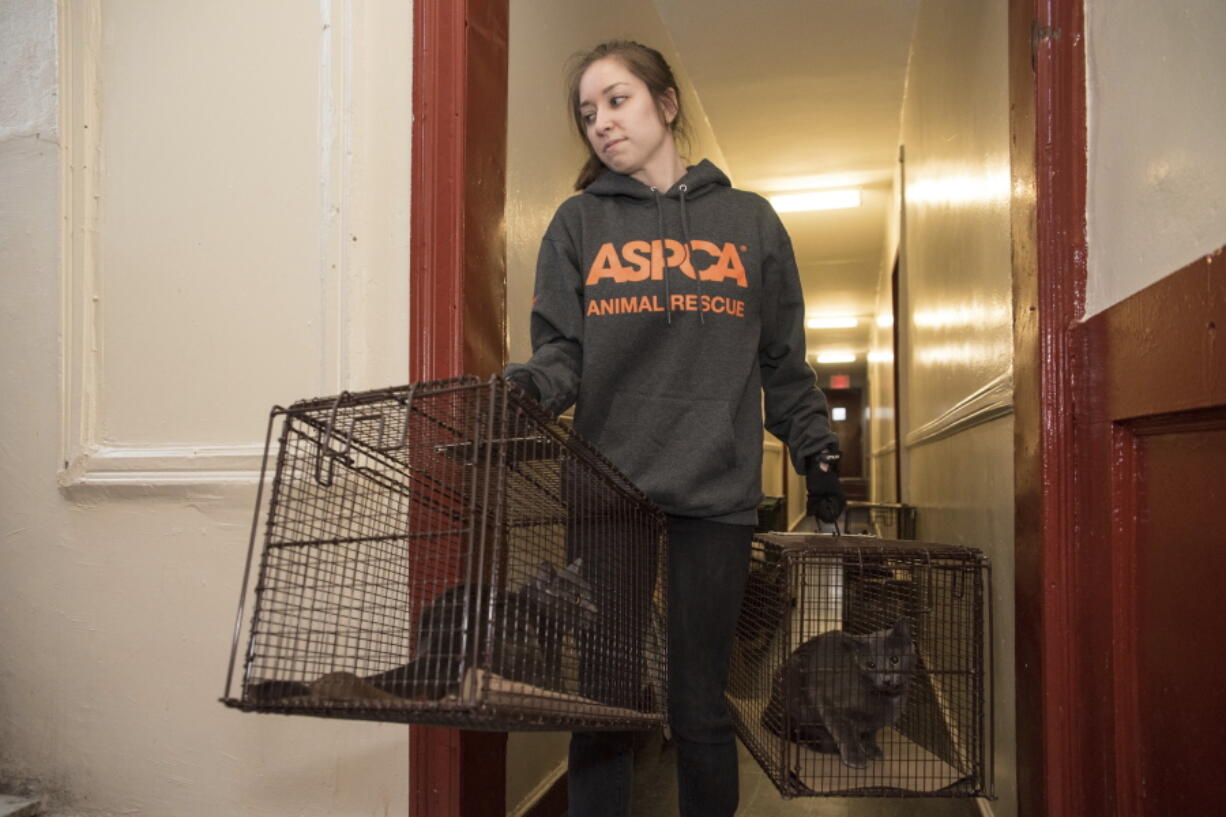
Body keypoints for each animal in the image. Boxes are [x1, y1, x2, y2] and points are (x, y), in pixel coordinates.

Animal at [760, 620, 917, 765]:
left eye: (895, 659)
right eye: (871, 665)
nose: (886, 679)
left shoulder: (875, 721)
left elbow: (870, 733)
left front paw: (872, 750)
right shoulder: (826, 699)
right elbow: (844, 731)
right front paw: (855, 756)